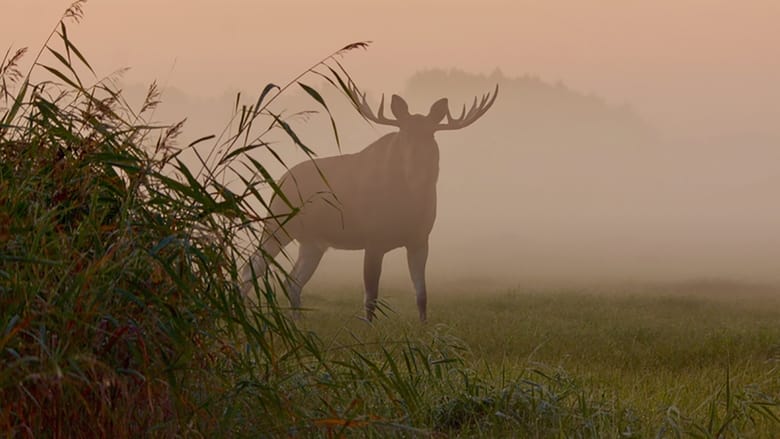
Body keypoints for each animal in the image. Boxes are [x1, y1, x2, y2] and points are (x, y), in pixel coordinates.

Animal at [242, 82, 500, 322]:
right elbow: (371, 296)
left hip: (313, 242)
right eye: (404, 134)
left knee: (293, 280)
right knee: (251, 266)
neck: (408, 204)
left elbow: (422, 294)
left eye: (431, 134)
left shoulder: (420, 239)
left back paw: (297, 321)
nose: (418, 168)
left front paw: (425, 327)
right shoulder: (373, 238)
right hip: (277, 224)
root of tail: (281, 179)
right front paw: (369, 328)